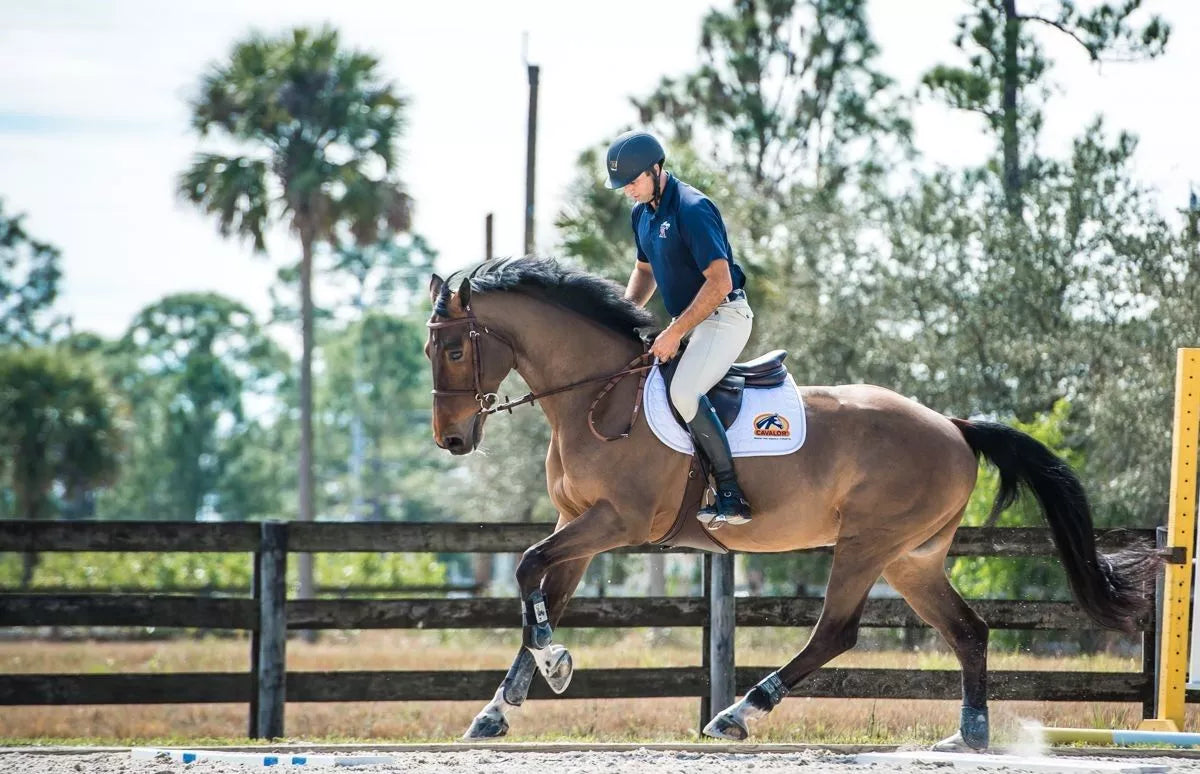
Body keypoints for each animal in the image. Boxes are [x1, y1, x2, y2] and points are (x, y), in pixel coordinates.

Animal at [427, 258, 1156, 748]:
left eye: (457, 347)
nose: (452, 440)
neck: (598, 395)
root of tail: (952, 425)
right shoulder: (576, 523)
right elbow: (540, 599)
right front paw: (500, 708)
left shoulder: (616, 522)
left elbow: (527, 568)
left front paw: (554, 666)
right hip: (911, 558)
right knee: (969, 630)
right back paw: (968, 736)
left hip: (866, 543)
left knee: (837, 631)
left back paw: (738, 713)